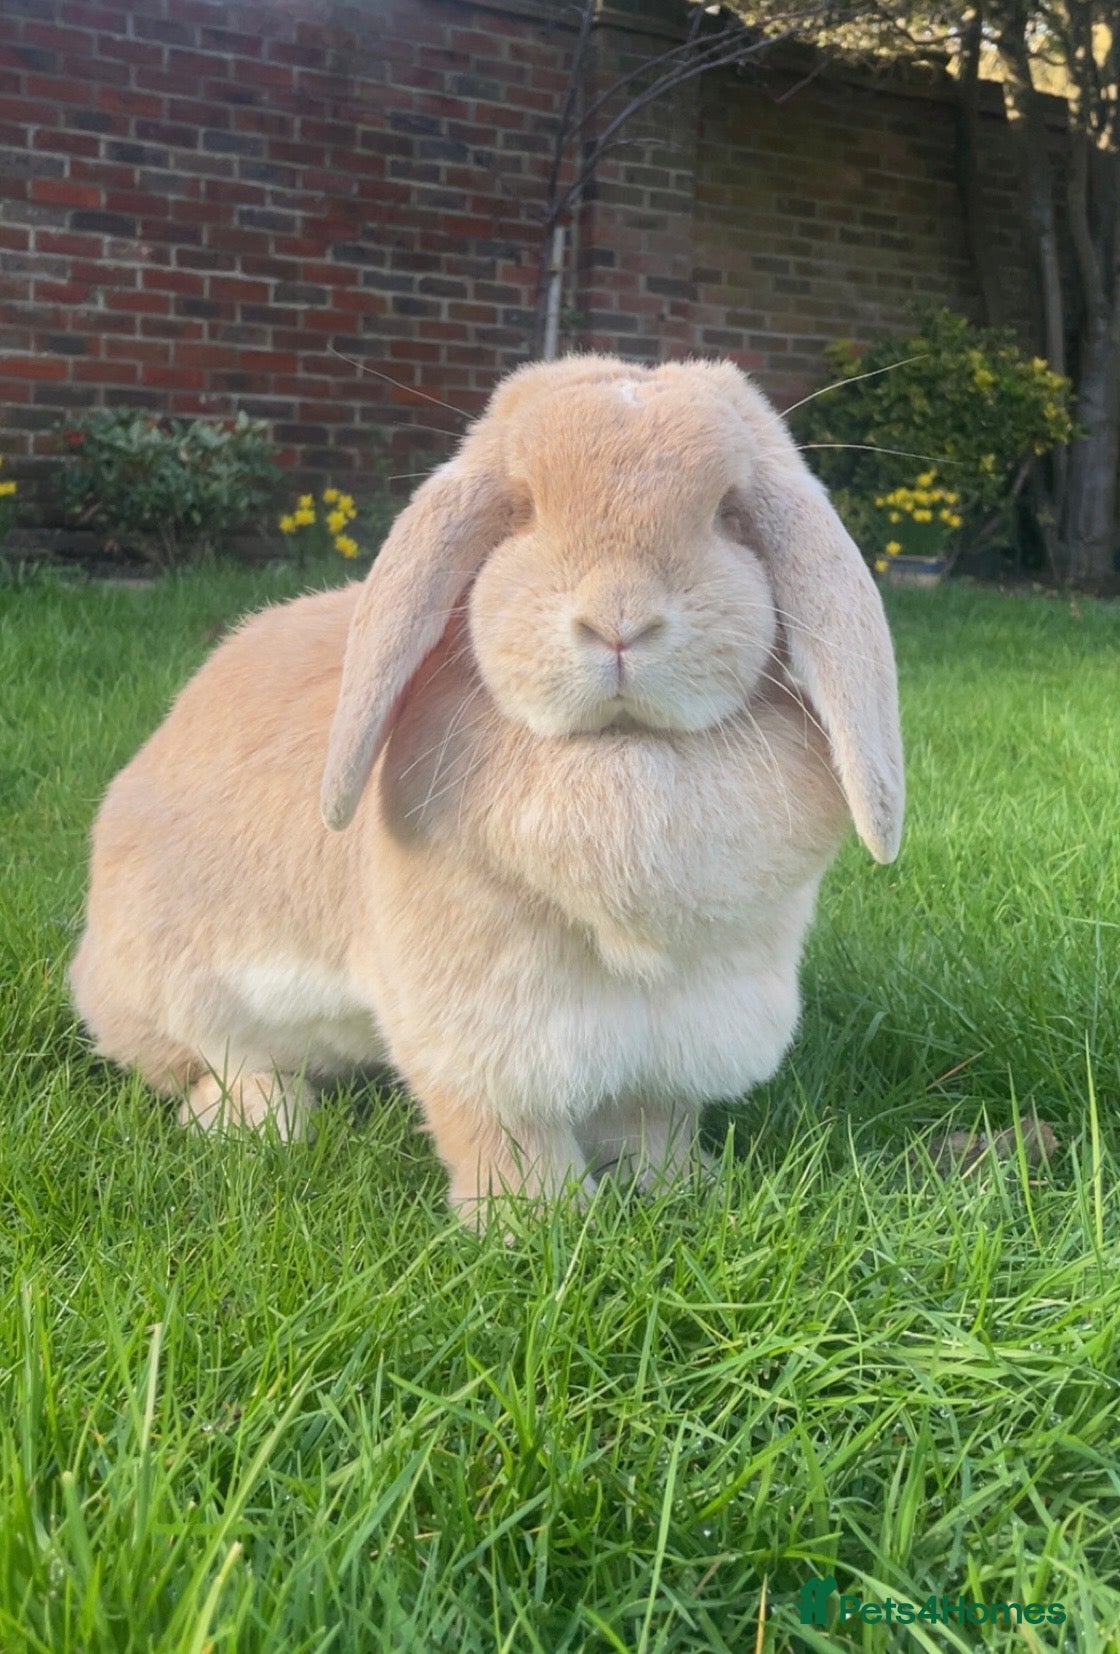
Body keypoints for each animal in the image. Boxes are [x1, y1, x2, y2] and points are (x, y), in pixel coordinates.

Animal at [70, 353, 904, 1217]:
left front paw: (679, 1189)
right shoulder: (486, 1022)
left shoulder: (691, 1018)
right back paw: (262, 1125)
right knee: (220, 1062)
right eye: (524, 510)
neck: (617, 754)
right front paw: (534, 1219)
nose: (619, 623)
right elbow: (503, 1128)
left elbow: (655, 1116)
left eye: (726, 513)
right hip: (180, 986)